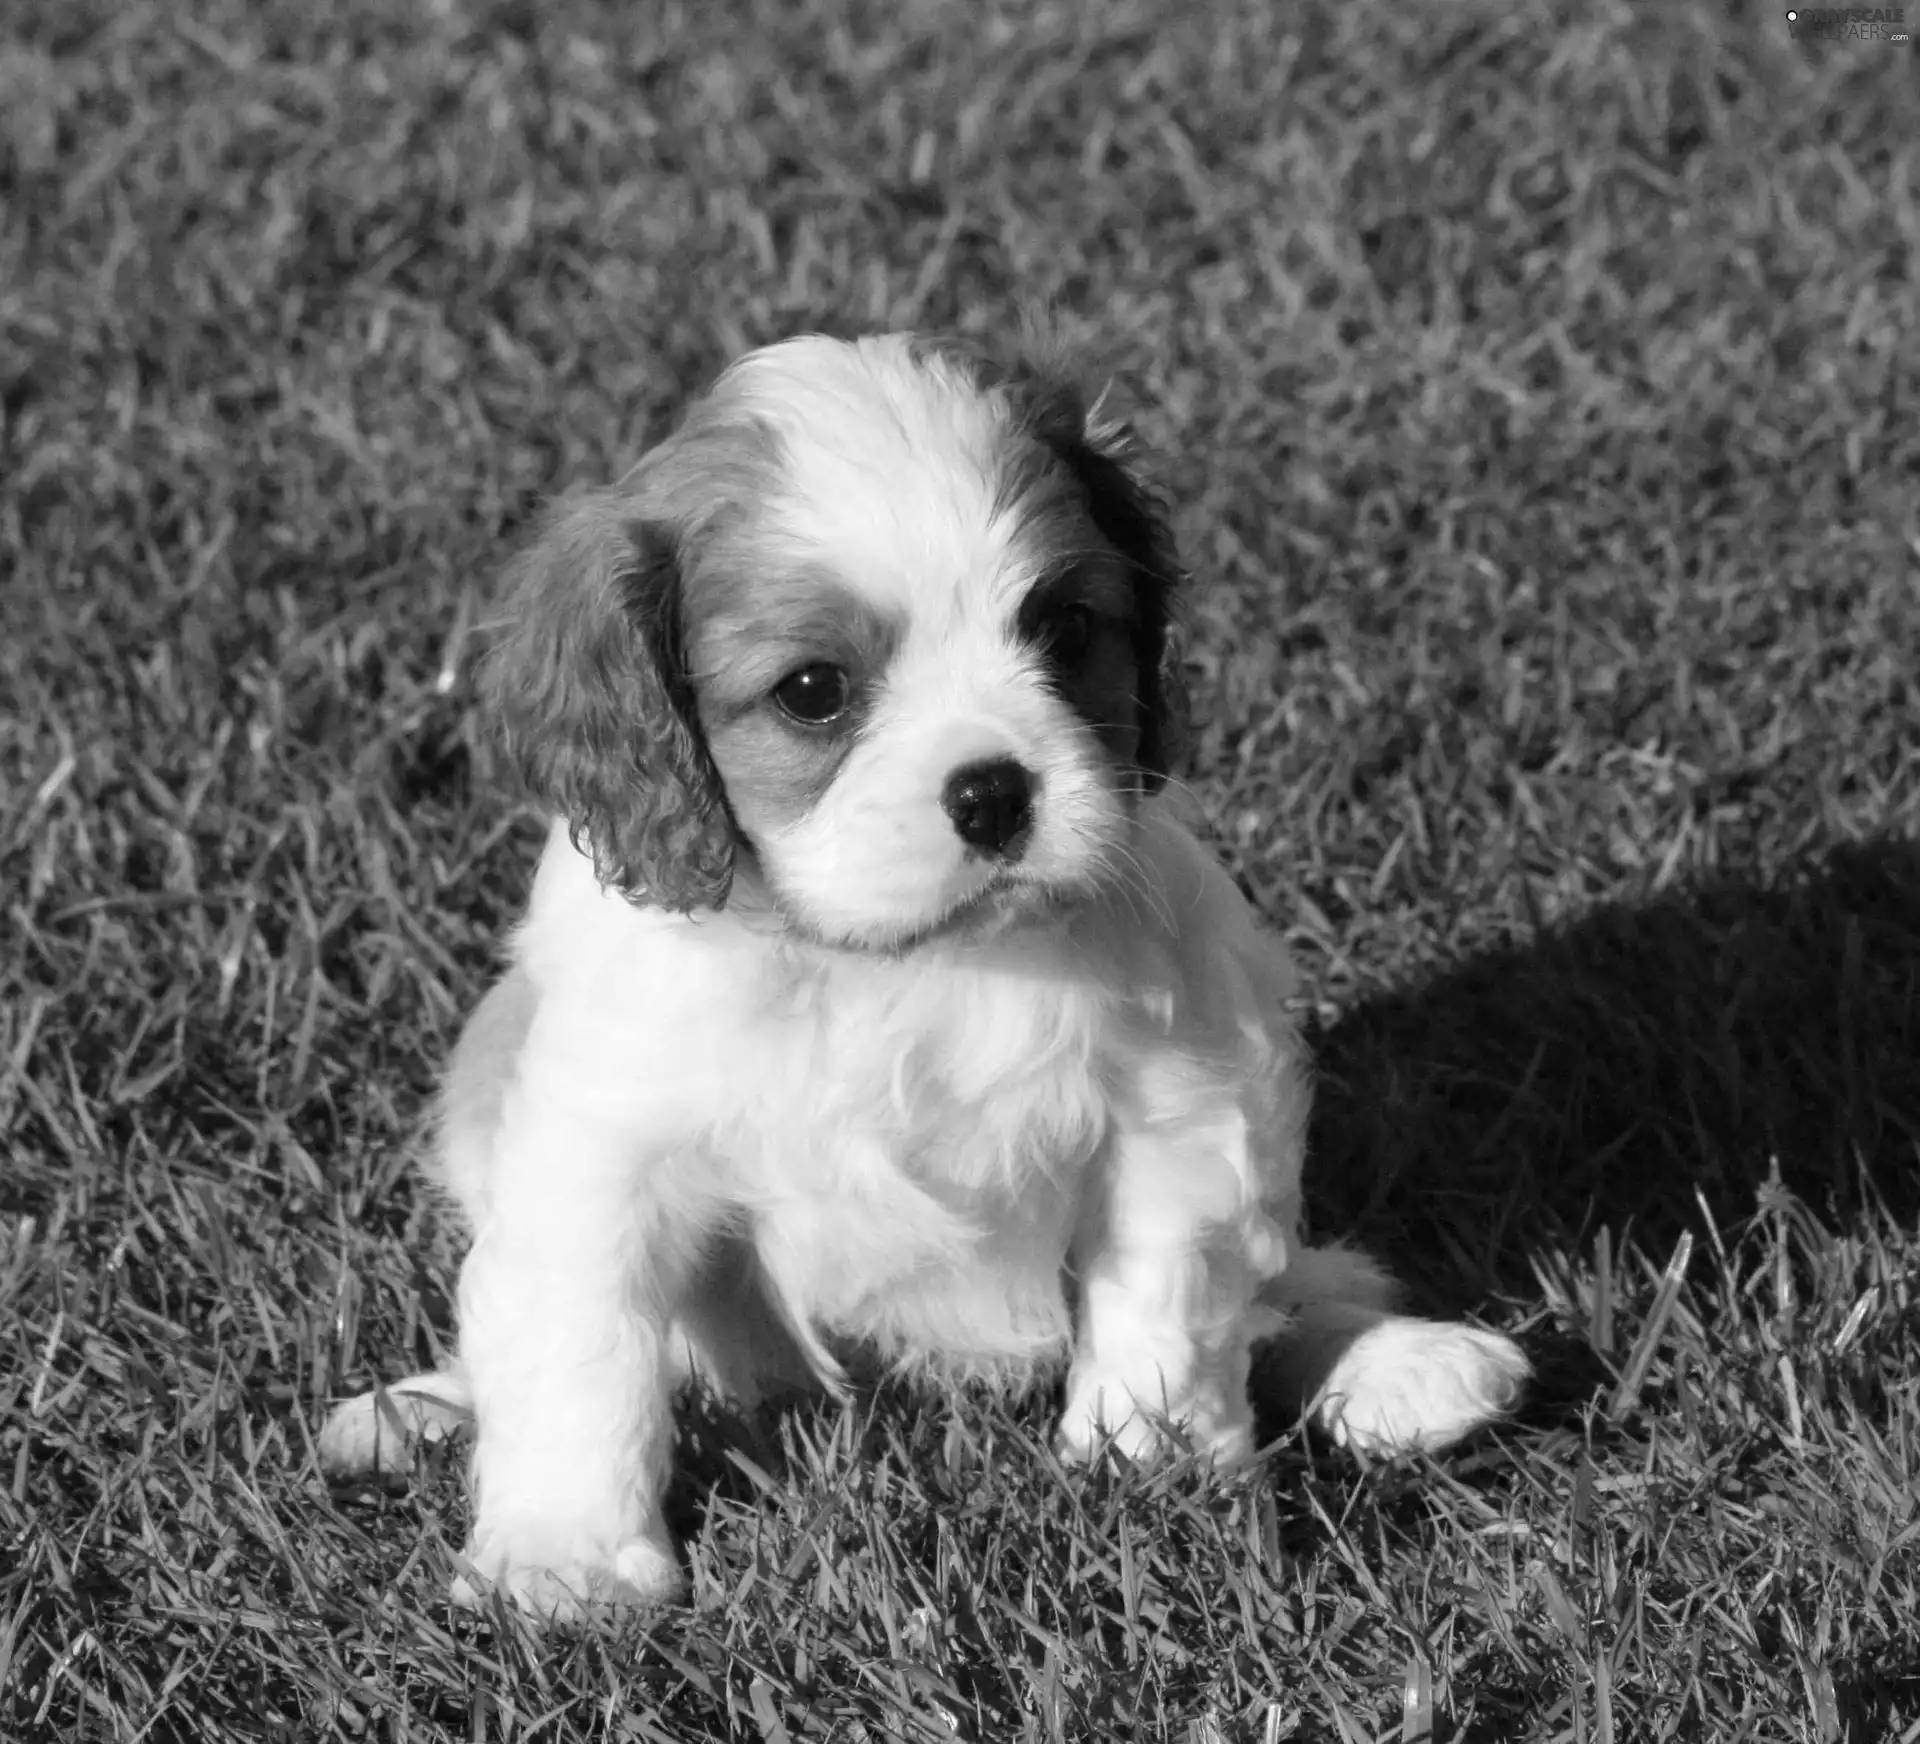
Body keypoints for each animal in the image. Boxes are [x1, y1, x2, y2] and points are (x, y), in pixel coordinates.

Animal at [318, 330, 1528, 1621]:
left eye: (1064, 630)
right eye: (813, 690)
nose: (995, 790)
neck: (893, 959)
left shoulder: (1182, 1109)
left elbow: (1168, 1309)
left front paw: (1156, 1487)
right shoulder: (599, 1148)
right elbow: (576, 1342)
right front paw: (568, 1555)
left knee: (1286, 1284)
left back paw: (1404, 1363)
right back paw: (413, 1417)